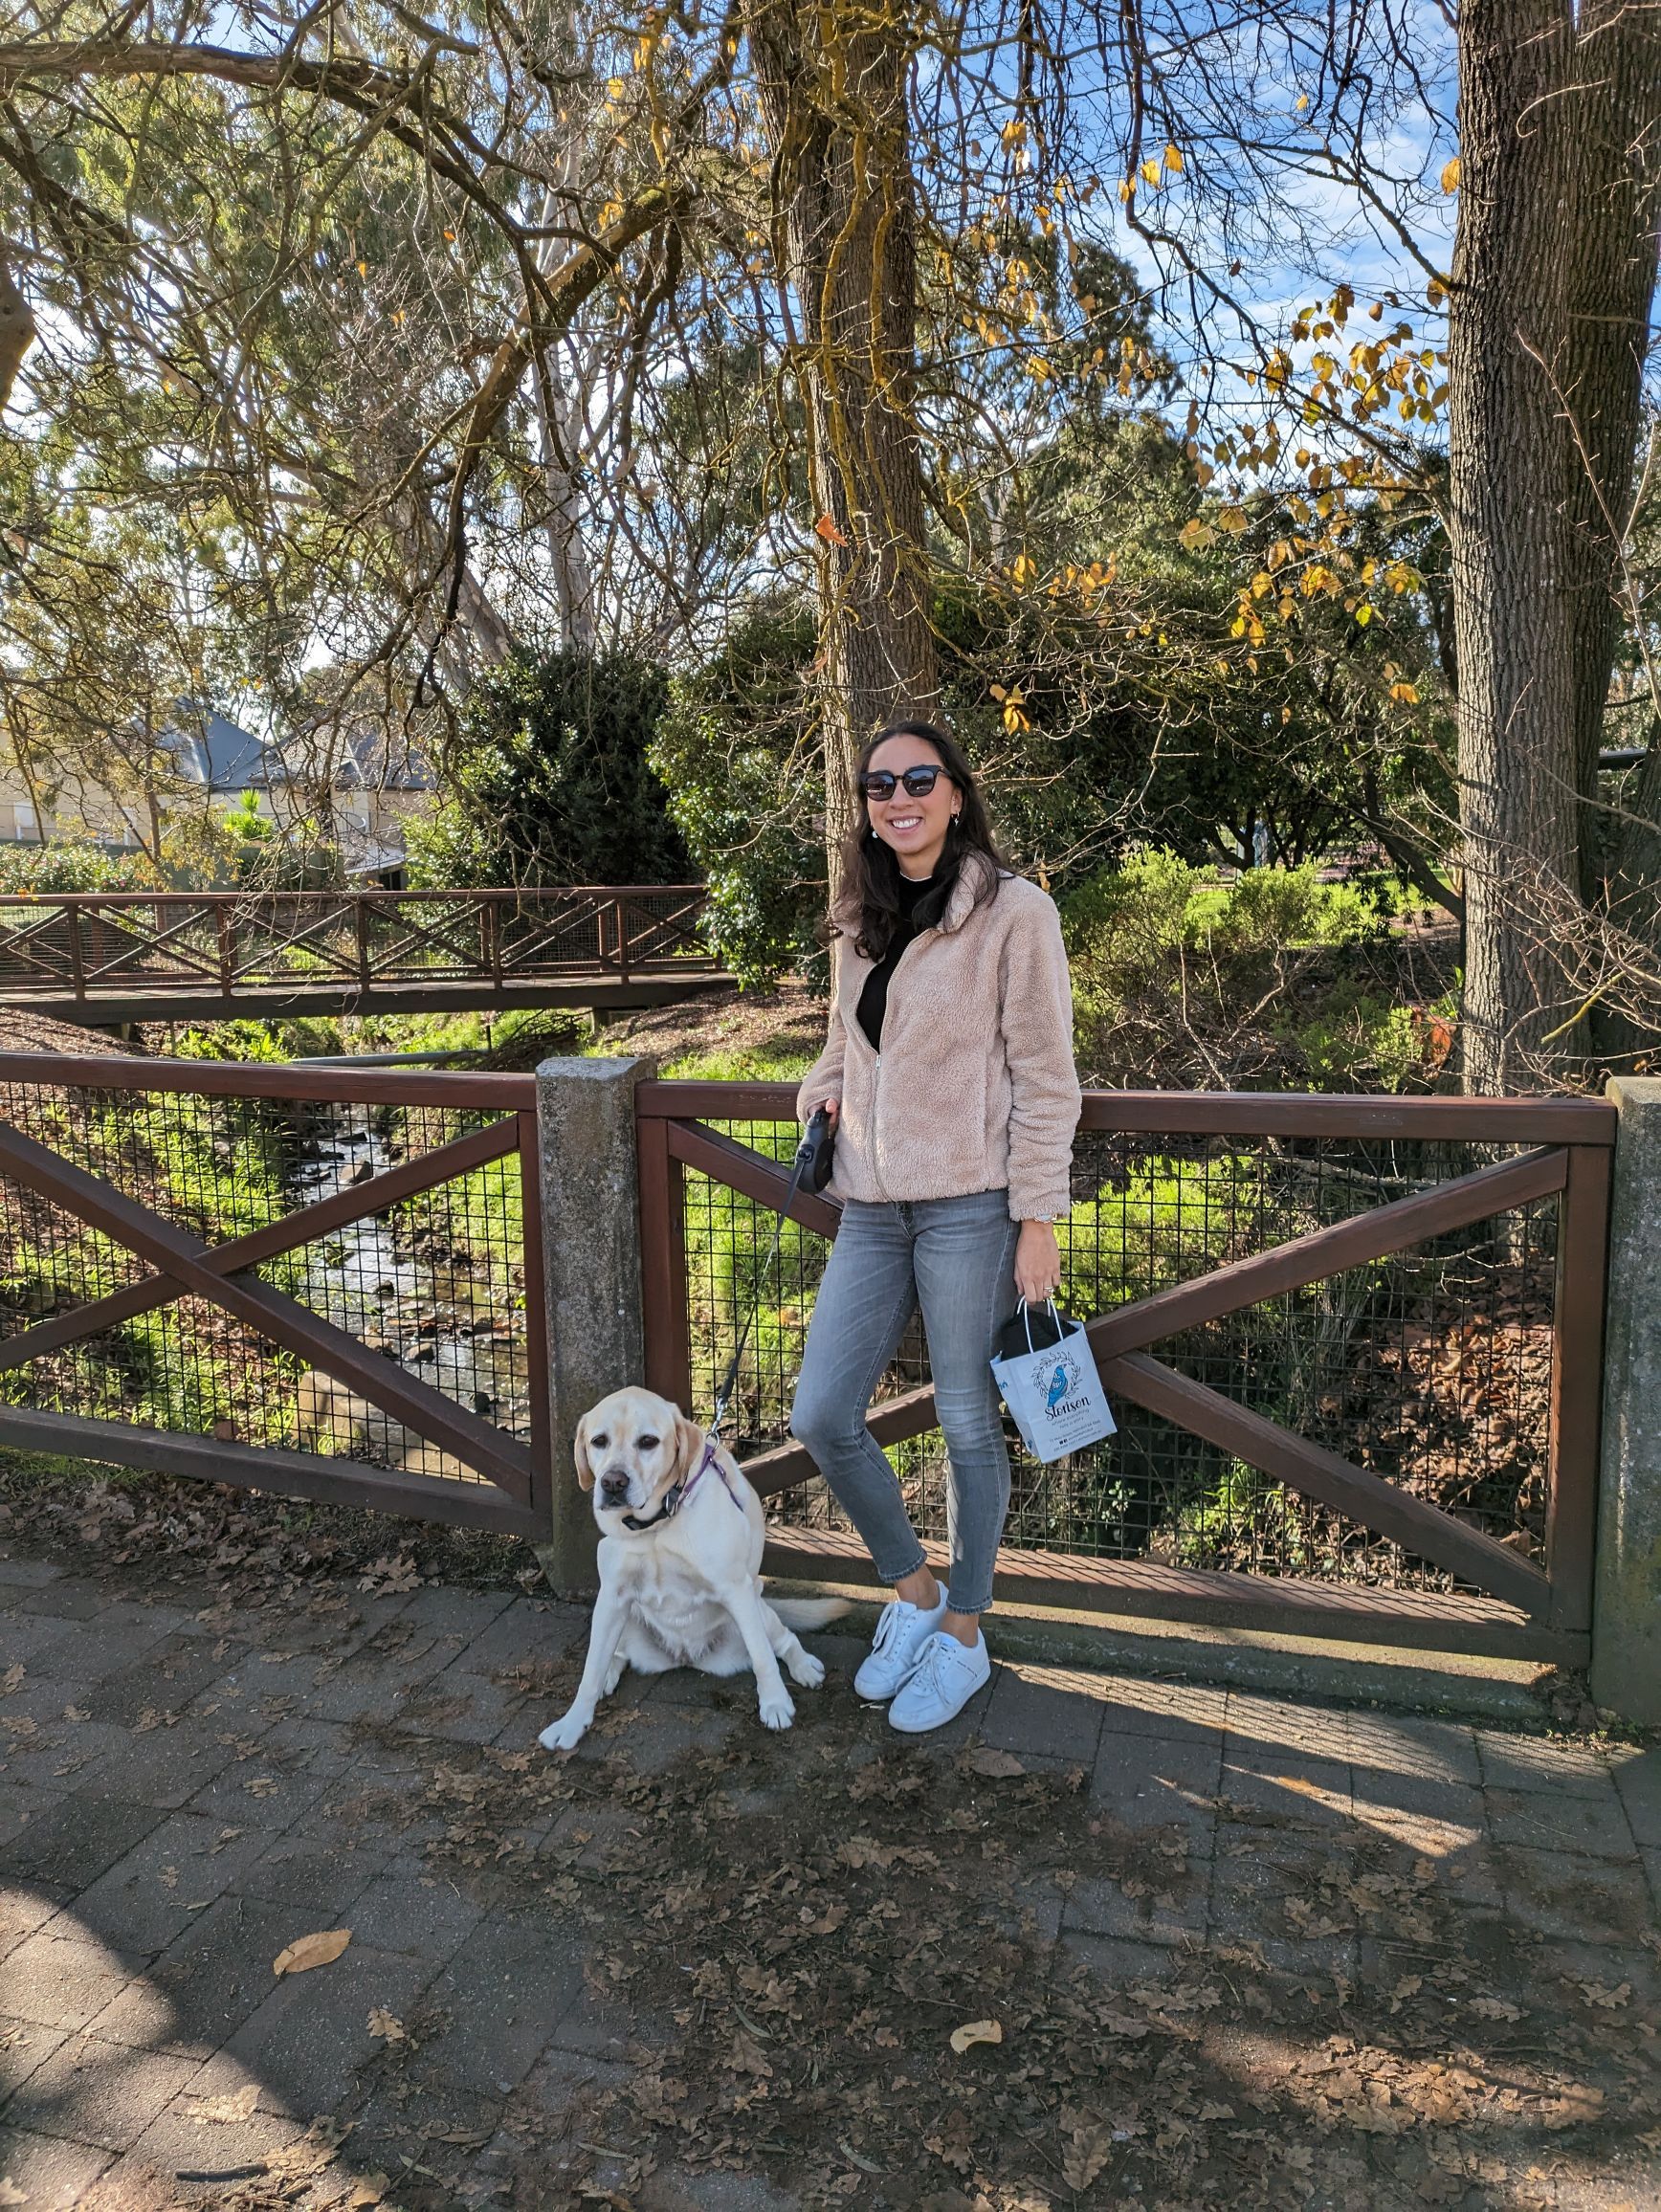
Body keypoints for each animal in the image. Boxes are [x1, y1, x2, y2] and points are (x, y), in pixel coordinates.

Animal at [542, 1388, 849, 1752]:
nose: (613, 1482)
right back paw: (609, 1674)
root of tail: (685, 1656)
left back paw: (803, 1666)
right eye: (599, 1441)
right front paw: (572, 1723)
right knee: (615, 1653)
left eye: (648, 1441)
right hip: (618, 1614)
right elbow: (590, 1670)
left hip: (758, 1609)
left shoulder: (735, 1589)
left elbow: (763, 1657)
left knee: (783, 1640)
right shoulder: (613, 1596)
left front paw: (775, 1703)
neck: (656, 1523)